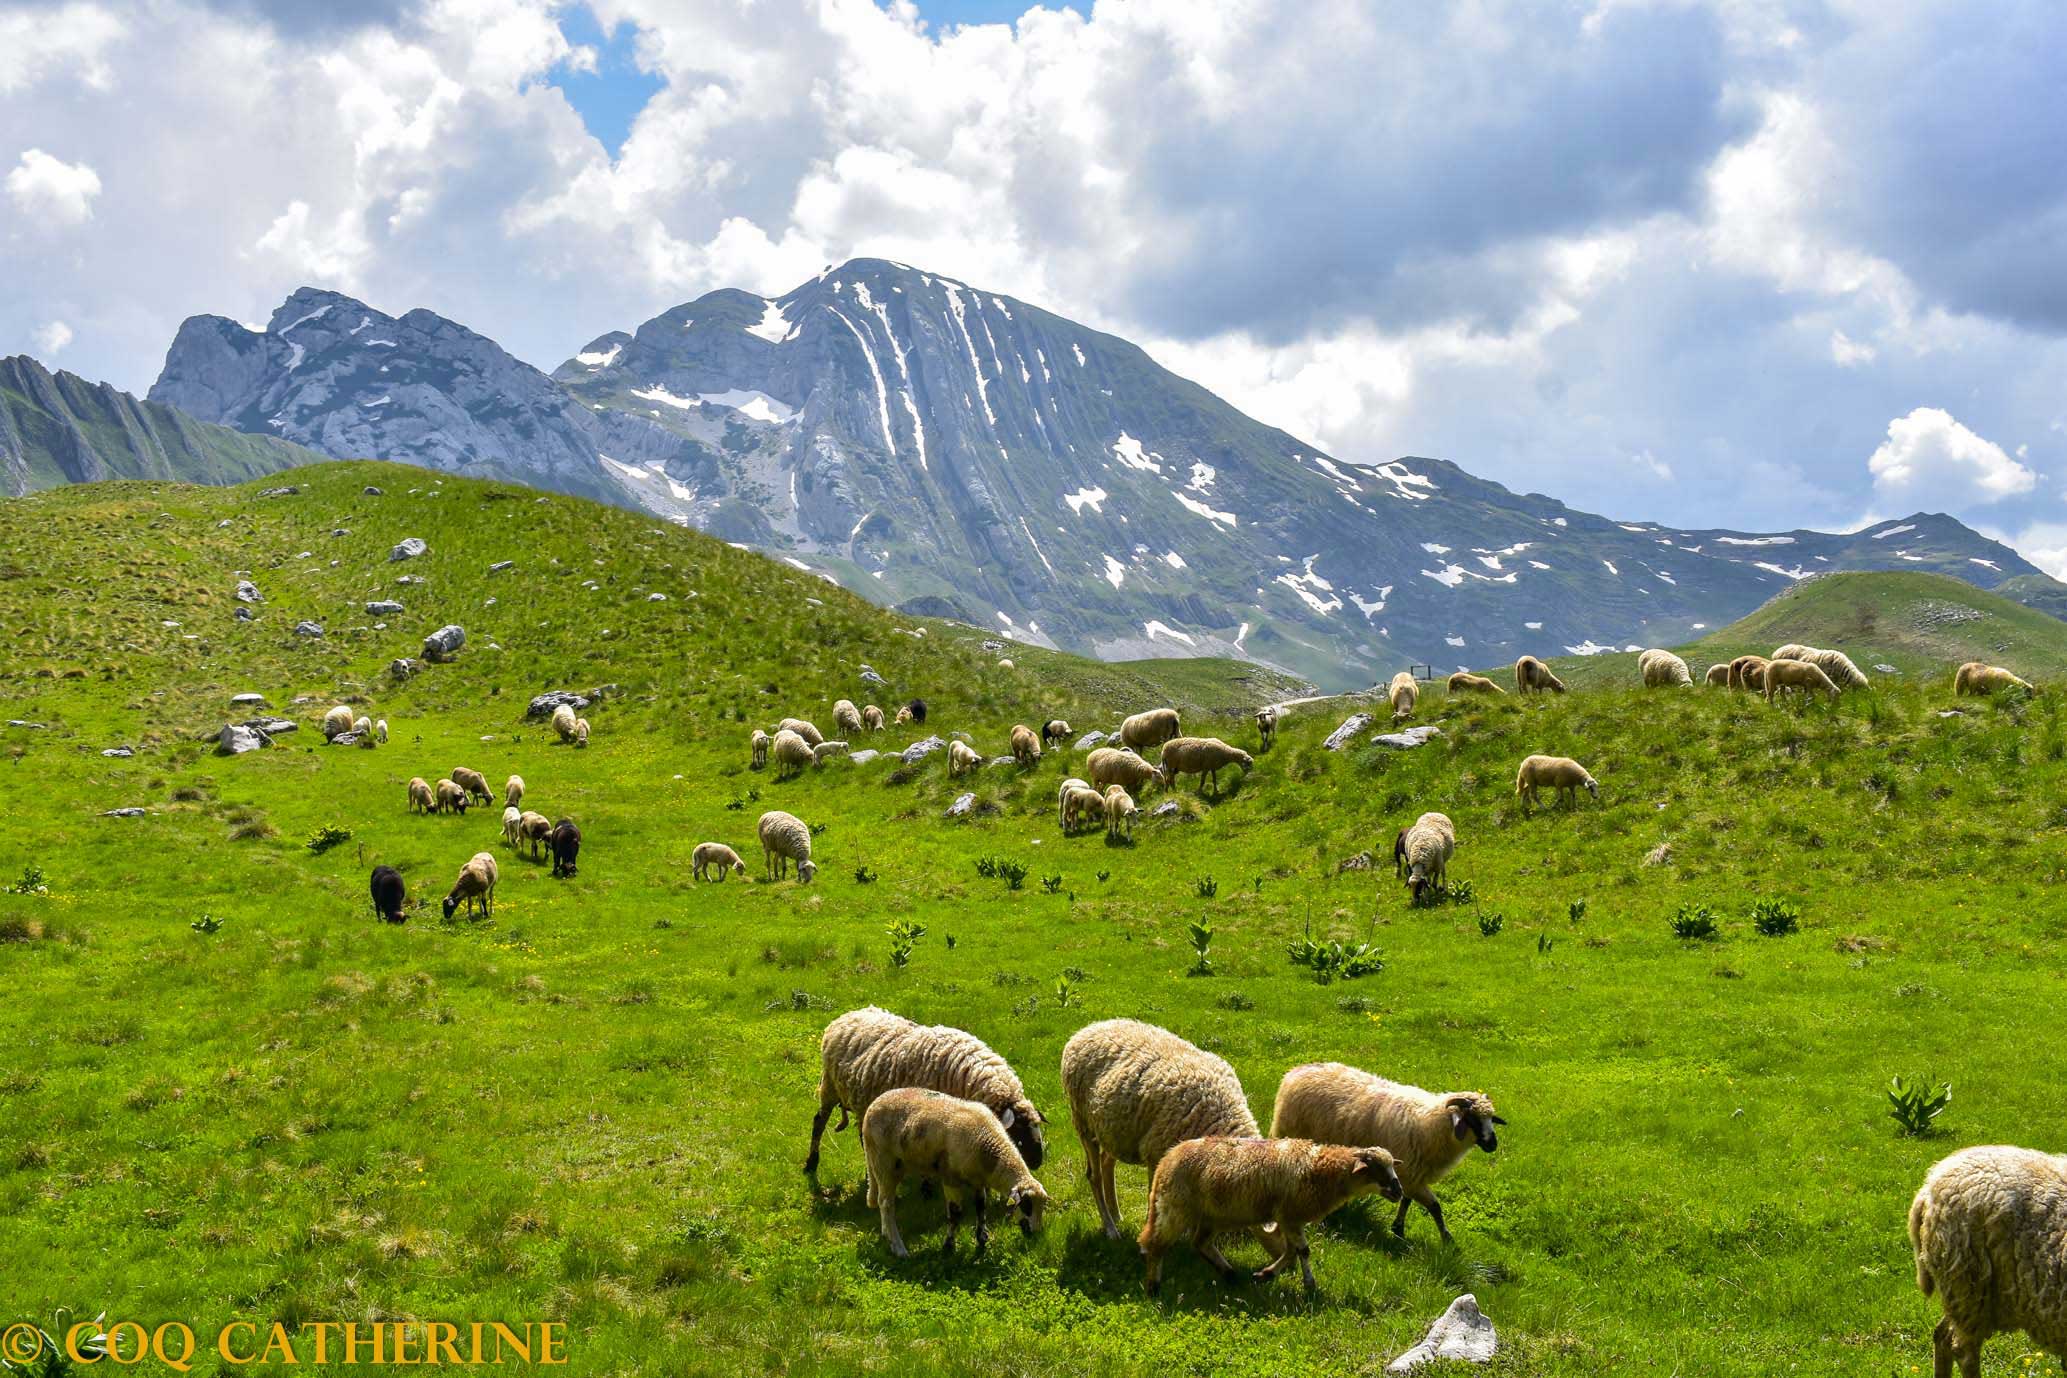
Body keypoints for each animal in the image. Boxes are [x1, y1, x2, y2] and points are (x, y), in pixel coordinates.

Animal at [808, 1005, 1046, 1178]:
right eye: (1018, 1136)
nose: (1037, 1163)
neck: (965, 1075)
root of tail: (847, 1015)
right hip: (829, 1087)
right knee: (819, 1121)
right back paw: (811, 1163)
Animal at [862, 1088, 1049, 1259]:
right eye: (1026, 1206)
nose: (1036, 1234)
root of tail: (873, 1104)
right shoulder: (950, 1178)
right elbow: (955, 1213)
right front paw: (948, 1246)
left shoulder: (978, 1180)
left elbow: (981, 1207)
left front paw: (982, 1238)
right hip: (883, 1162)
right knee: (886, 1203)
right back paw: (899, 1248)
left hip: (895, 1165)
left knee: (884, 1202)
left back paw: (886, 1233)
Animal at [1059, 1018, 1259, 1239]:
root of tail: (1089, 1027)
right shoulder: (1156, 1154)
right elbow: (1154, 1199)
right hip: (1083, 1122)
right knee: (1094, 1176)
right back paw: (1110, 1228)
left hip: (1114, 1129)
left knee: (1107, 1163)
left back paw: (1116, 1214)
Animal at [1139, 1138, 1402, 1294]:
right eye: (1377, 1169)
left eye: (1393, 1167)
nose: (1399, 1192)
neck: (1321, 1170)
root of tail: (1168, 1158)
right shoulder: (1291, 1216)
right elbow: (1303, 1252)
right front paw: (1310, 1286)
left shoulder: (1288, 1218)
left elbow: (1291, 1252)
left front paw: (1266, 1275)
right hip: (1174, 1209)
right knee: (1156, 1244)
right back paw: (1153, 1287)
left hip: (1213, 1215)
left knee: (1200, 1243)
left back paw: (1230, 1274)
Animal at [1270, 1062, 1504, 1244]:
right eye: (1472, 1119)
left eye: (1491, 1119)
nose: (1493, 1144)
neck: (1431, 1123)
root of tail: (1296, 1070)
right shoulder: (1409, 1171)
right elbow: (1435, 1207)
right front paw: (1448, 1240)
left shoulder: (1411, 1175)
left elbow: (1408, 1201)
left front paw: (1399, 1229)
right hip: (1288, 1131)